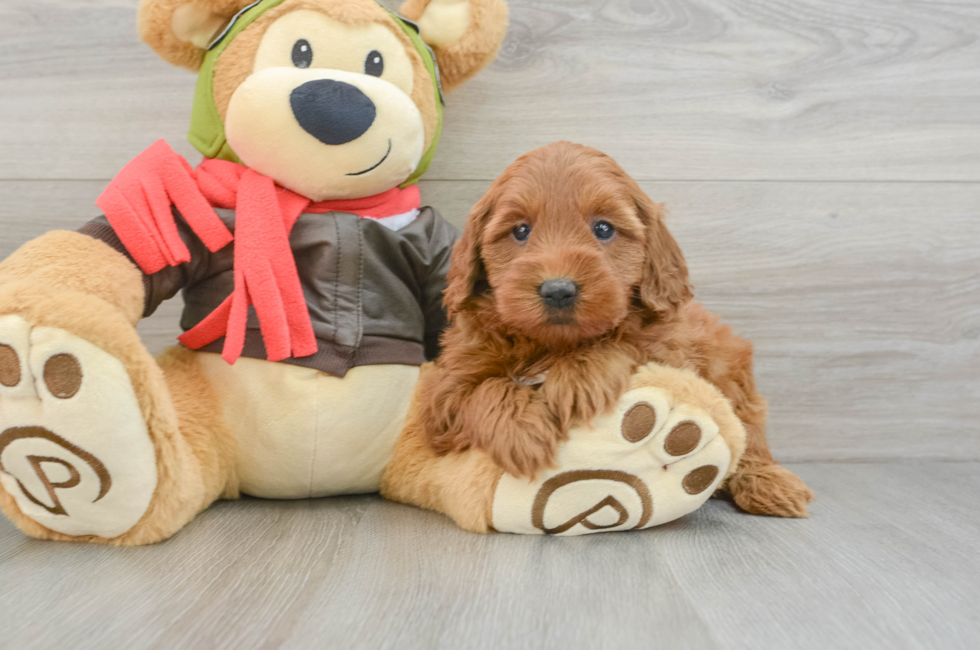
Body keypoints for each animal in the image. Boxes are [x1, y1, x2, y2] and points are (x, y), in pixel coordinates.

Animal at [422, 142, 812, 516]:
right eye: (520, 230)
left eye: (604, 229)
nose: (558, 290)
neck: (554, 344)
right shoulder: (447, 396)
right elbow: (483, 391)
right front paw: (521, 431)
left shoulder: (670, 350)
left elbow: (627, 342)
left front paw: (579, 377)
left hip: (728, 367)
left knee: (749, 433)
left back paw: (769, 483)